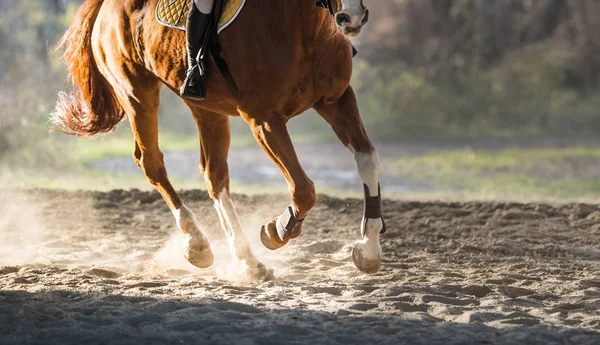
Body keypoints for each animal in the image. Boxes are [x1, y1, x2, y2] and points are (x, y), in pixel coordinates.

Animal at [52, 0, 384, 280]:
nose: (352, 18)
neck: (306, 26)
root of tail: (106, 5)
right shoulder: (263, 119)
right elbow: (303, 189)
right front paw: (276, 230)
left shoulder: (337, 101)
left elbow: (367, 160)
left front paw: (368, 249)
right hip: (137, 93)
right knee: (151, 162)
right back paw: (197, 243)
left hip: (205, 107)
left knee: (214, 176)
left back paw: (246, 260)